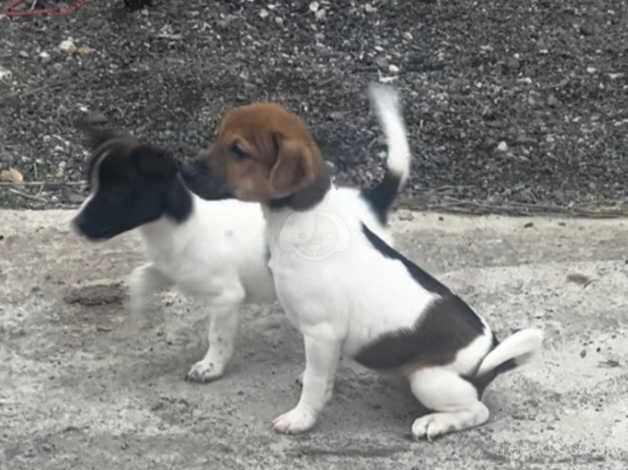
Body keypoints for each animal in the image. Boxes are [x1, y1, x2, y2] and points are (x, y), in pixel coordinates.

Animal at [183, 85, 544, 440]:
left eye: (238, 150)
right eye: (218, 137)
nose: (184, 170)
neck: (302, 215)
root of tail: (489, 360)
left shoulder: (322, 333)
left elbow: (314, 384)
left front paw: (301, 418)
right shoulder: (325, 342)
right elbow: (320, 377)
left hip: (429, 380)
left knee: (477, 411)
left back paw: (434, 423)